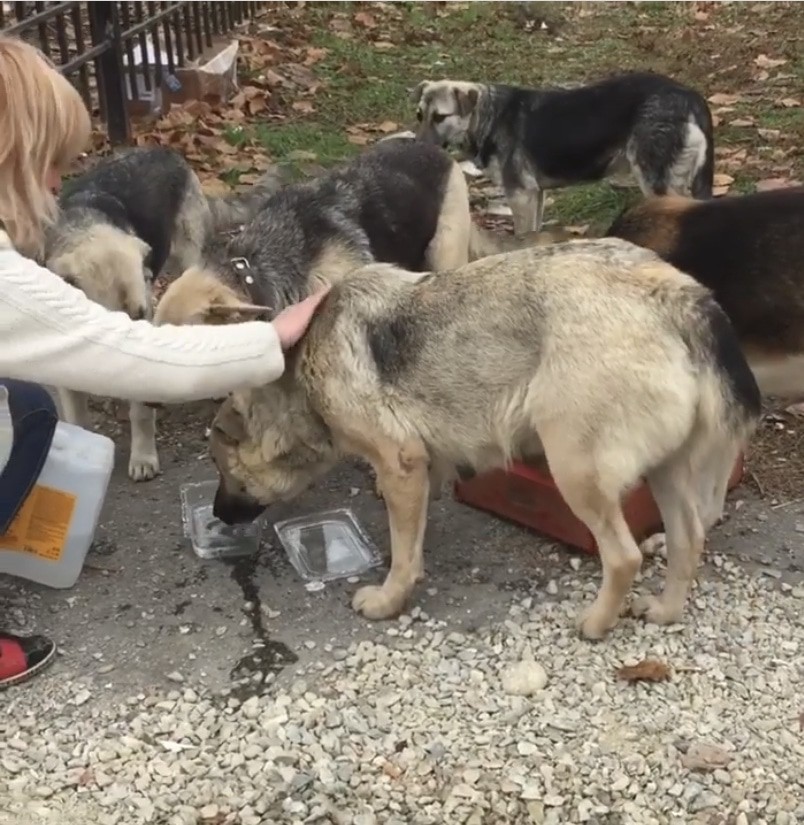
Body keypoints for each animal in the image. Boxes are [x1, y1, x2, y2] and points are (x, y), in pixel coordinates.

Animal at [44, 147, 282, 480]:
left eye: (139, 315)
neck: (85, 228)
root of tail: (166, 151)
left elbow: (141, 412)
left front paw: (143, 455)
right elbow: (78, 419)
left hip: (188, 261)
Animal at [207, 238, 760, 644]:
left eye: (222, 471)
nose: (214, 515)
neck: (299, 367)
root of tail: (670, 289)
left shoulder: (400, 462)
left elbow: (403, 553)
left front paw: (389, 601)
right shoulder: (419, 469)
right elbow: (411, 535)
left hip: (576, 471)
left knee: (624, 556)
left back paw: (596, 624)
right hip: (664, 472)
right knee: (689, 537)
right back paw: (666, 610)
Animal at [412, 71, 712, 235]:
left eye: (440, 117)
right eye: (419, 115)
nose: (416, 146)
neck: (488, 117)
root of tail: (690, 96)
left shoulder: (521, 196)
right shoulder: (536, 196)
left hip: (656, 183)